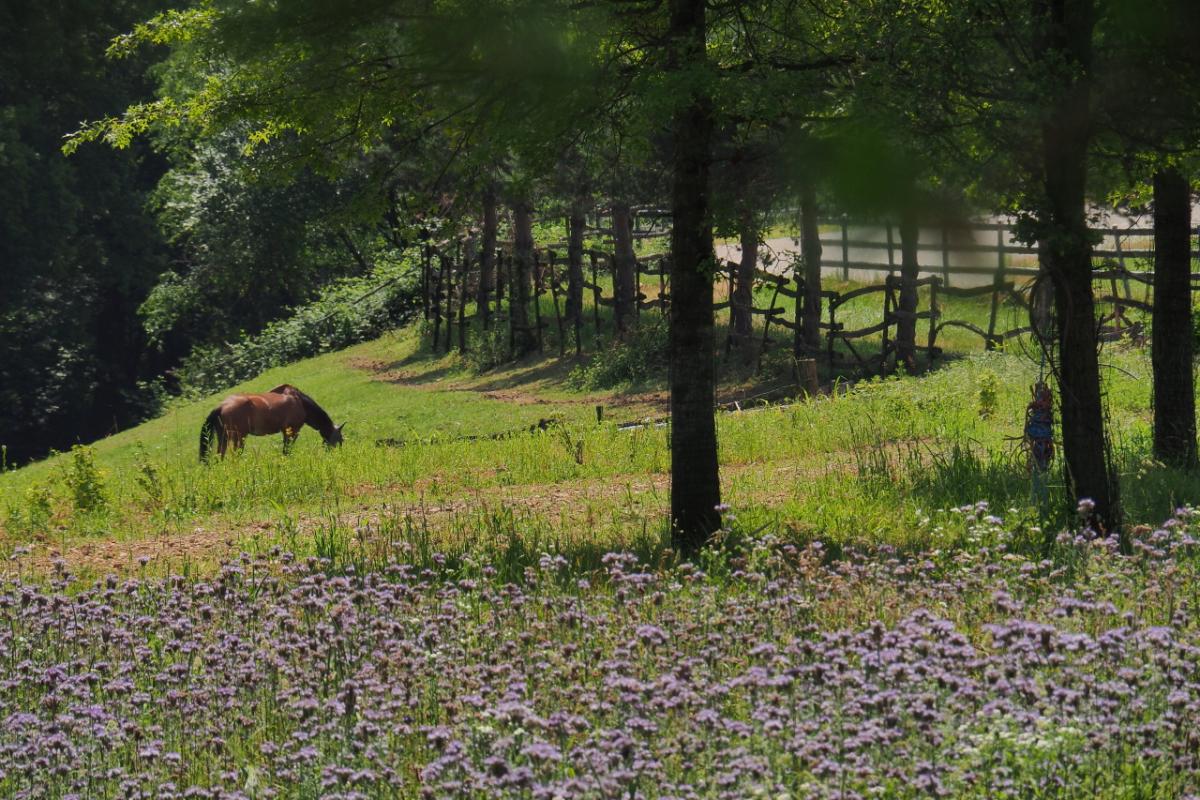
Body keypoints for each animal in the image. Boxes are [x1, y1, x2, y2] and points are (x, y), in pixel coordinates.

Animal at [198, 383, 343, 460]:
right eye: (339, 440)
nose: (338, 454)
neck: (301, 403)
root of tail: (221, 406)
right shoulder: (292, 431)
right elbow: (287, 449)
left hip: (223, 437)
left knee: (219, 455)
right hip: (238, 437)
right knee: (235, 455)